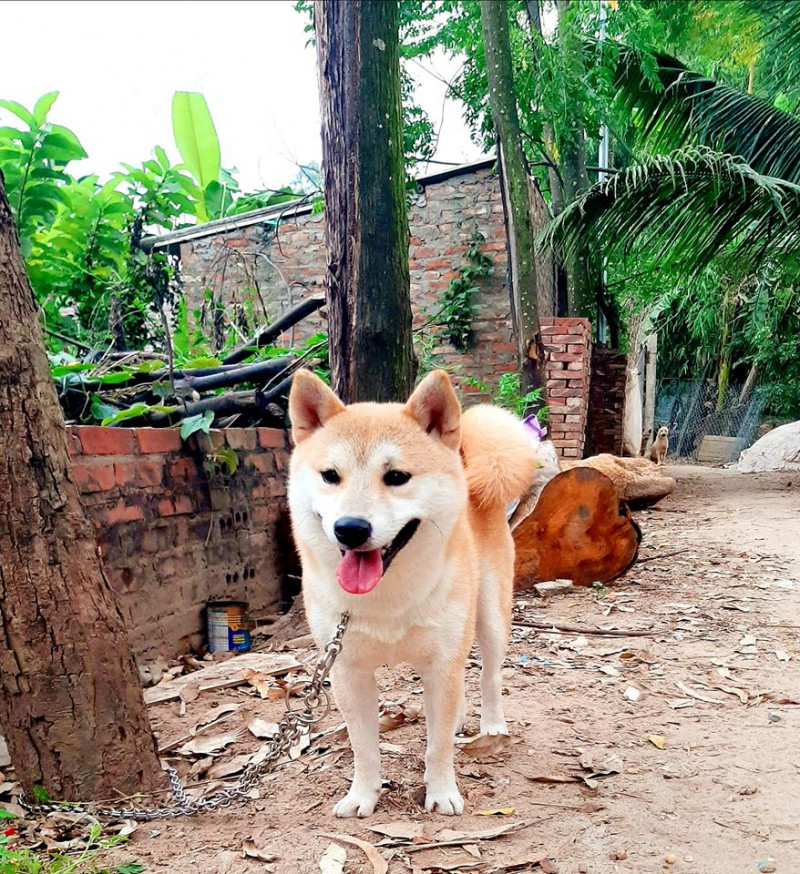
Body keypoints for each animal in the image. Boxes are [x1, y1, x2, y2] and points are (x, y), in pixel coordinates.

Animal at [288, 370, 536, 816]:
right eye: (330, 475)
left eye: (397, 477)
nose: (350, 528)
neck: (387, 599)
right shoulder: (347, 669)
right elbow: (363, 747)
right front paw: (363, 795)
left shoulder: (441, 661)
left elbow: (438, 747)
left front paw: (442, 792)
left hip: (491, 619)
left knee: (489, 675)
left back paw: (491, 726)